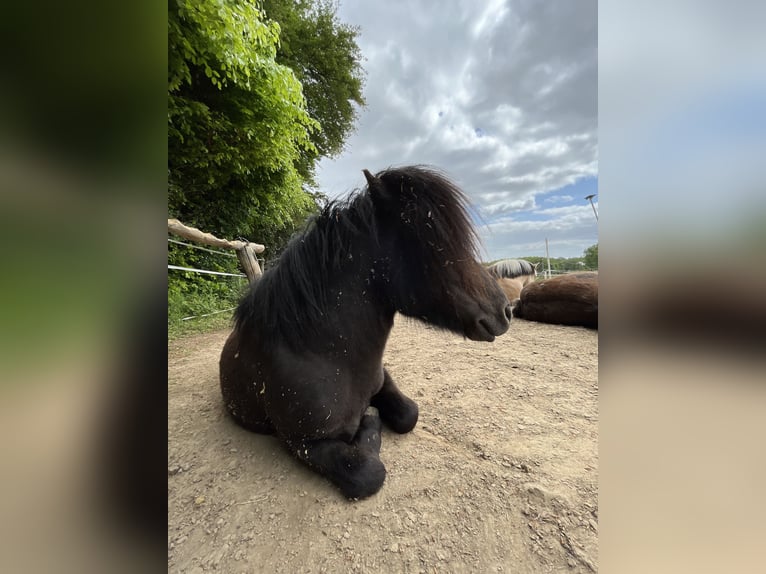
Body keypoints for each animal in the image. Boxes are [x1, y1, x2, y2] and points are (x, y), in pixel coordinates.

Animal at [219, 166, 512, 500]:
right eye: (433, 242)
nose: (505, 311)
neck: (323, 355)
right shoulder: (302, 443)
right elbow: (368, 472)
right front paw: (369, 421)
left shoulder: (383, 381)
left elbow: (409, 413)